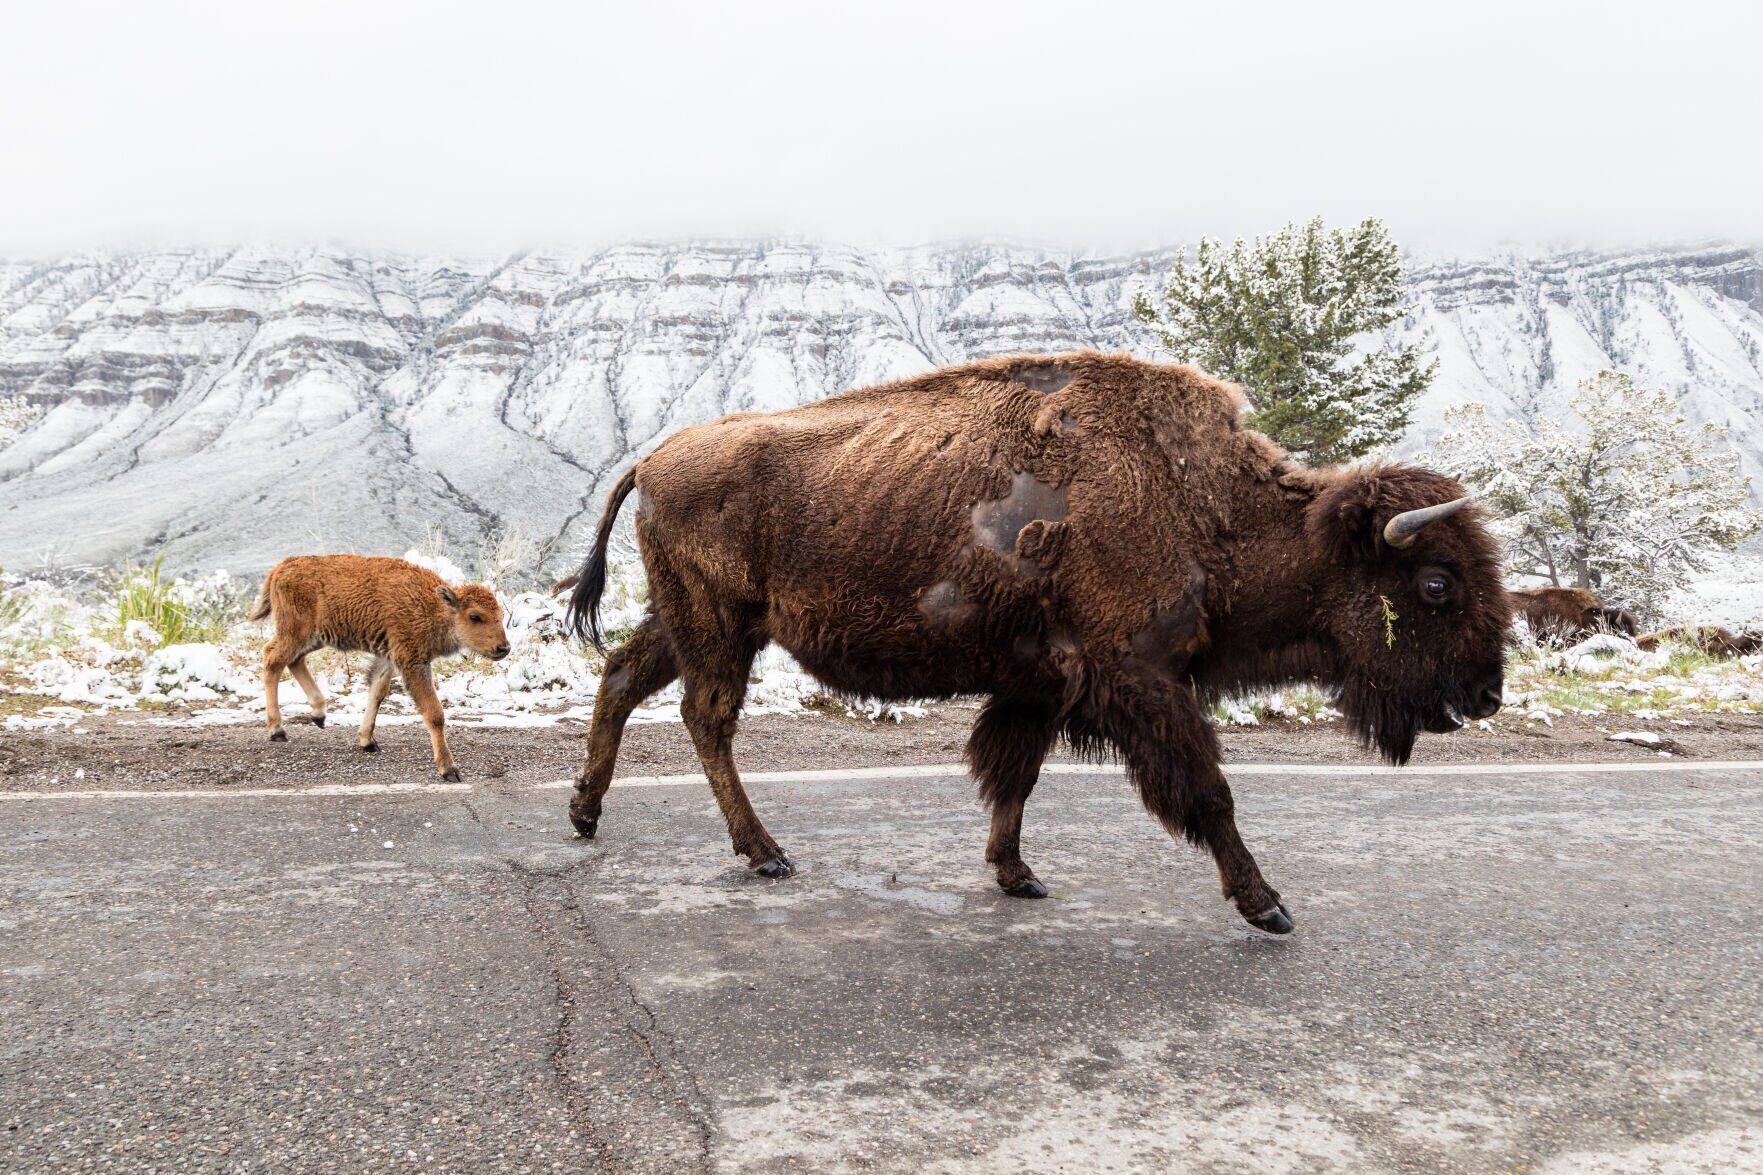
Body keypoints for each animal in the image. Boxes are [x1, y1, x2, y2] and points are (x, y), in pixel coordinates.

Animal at [248, 554, 511, 779]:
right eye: (475, 616)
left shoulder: (389, 657)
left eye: (499, 614)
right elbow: (434, 713)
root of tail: (282, 566)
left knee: (293, 660)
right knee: (273, 659)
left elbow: (377, 692)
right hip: (297, 632)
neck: (434, 605)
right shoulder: (412, 661)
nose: (503, 648)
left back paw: (319, 714)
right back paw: (277, 730)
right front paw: (448, 769)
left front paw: (368, 741)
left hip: (315, 637)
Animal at [563, 352, 1511, 933]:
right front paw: (1266, 905)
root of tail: (652, 456)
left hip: (691, 620)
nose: (1485, 692)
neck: (1203, 503)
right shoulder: (1140, 676)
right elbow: (1208, 794)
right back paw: (764, 854)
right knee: (707, 717)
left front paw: (1015, 873)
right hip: (718, 624)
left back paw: (585, 812)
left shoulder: (1044, 682)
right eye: (1436, 583)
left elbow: (1012, 773)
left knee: (623, 679)